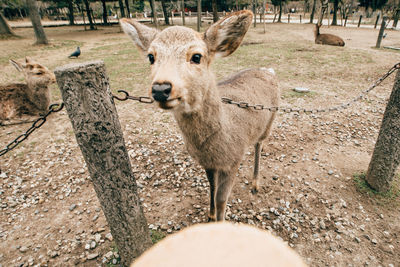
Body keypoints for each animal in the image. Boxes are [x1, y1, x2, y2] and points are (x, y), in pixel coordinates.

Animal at [120, 10, 280, 223]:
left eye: (196, 56)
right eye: (151, 57)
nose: (161, 88)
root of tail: (268, 70)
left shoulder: (233, 159)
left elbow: (221, 199)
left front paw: (219, 220)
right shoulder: (208, 163)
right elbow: (211, 187)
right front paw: (210, 214)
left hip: (270, 121)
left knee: (259, 145)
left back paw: (255, 184)